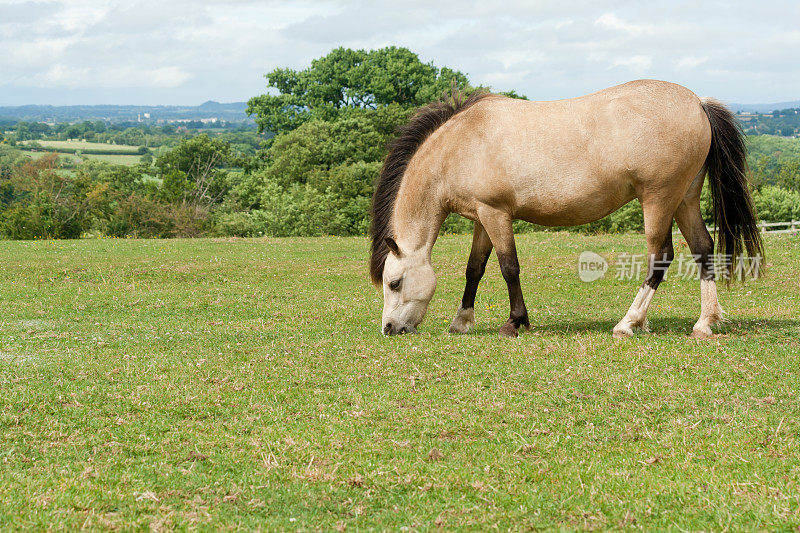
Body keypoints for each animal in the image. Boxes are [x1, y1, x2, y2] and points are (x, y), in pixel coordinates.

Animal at [368, 80, 764, 336]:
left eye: (394, 282)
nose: (389, 328)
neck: (461, 144)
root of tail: (697, 103)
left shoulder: (496, 214)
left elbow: (508, 267)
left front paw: (514, 322)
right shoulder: (483, 216)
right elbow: (474, 269)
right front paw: (461, 321)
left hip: (658, 200)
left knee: (661, 256)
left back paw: (629, 322)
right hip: (684, 200)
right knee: (703, 250)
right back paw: (705, 322)